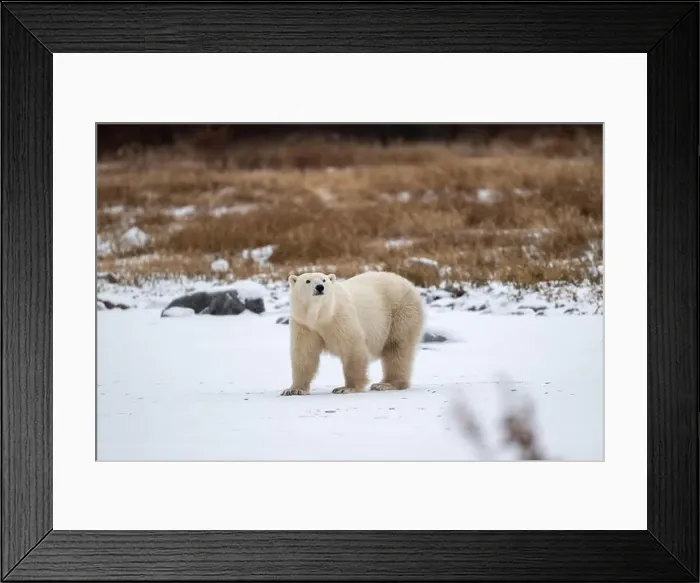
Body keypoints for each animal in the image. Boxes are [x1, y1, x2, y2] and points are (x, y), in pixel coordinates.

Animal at [281, 271, 424, 396]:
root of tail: (408, 283)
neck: (320, 316)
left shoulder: (339, 317)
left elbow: (352, 348)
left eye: (324, 280)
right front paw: (294, 390)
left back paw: (386, 384)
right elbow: (305, 354)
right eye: (308, 281)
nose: (320, 287)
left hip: (400, 312)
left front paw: (346, 388)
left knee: (397, 348)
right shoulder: (304, 324)